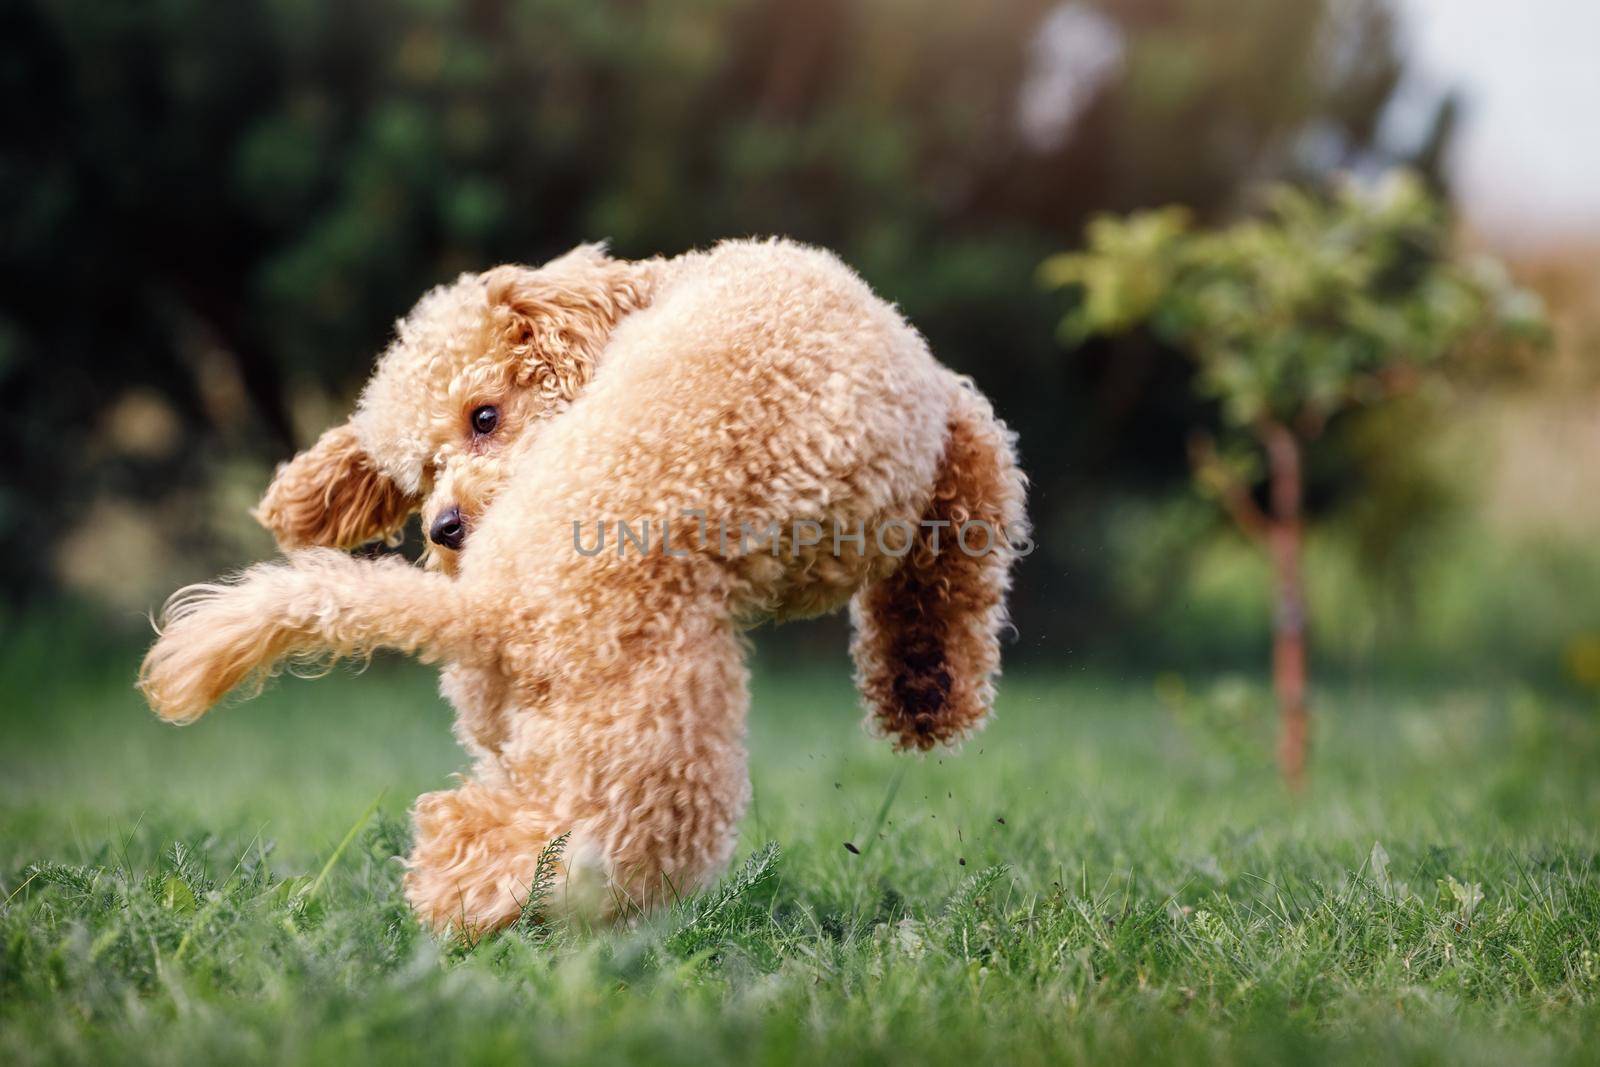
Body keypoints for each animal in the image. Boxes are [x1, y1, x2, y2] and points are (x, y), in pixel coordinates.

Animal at [137, 241, 1024, 934]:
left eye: (483, 417)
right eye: (420, 473)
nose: (444, 526)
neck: (654, 284)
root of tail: (492, 602)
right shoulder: (957, 430)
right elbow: (950, 569)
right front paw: (928, 696)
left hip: (543, 742)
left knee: (477, 824)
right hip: (661, 752)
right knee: (565, 849)